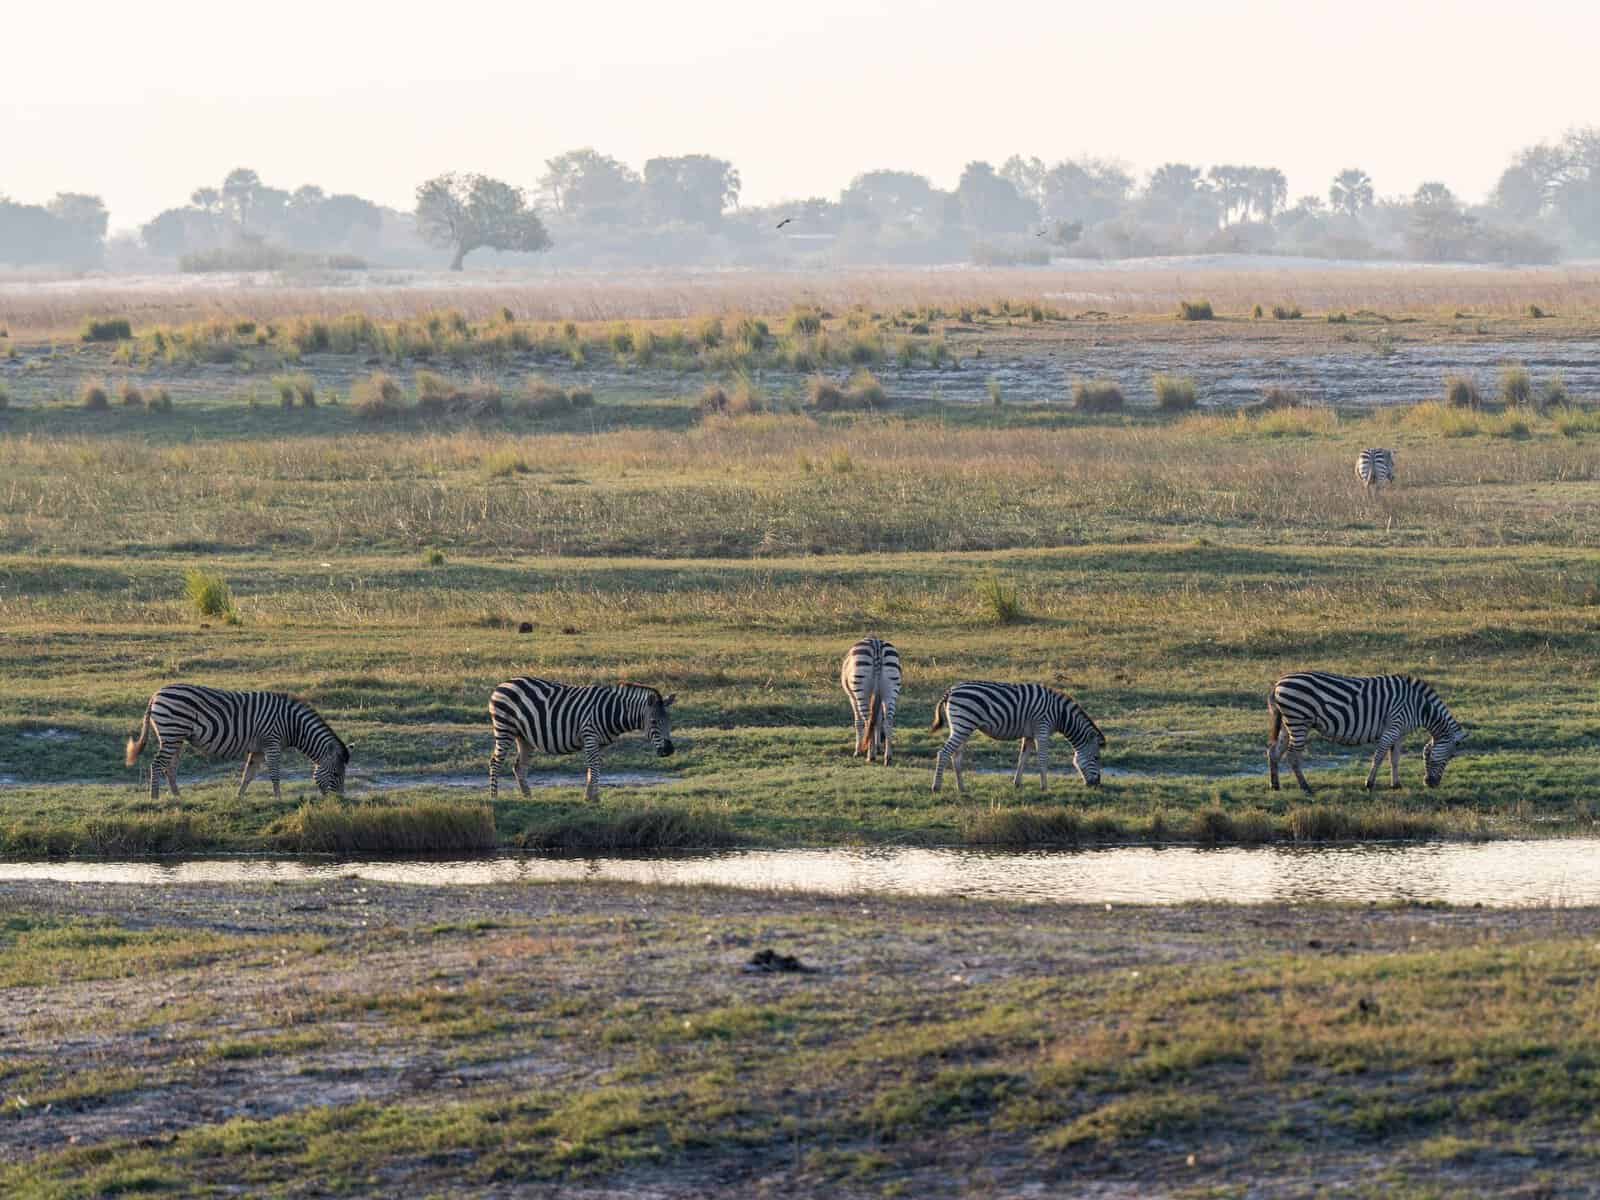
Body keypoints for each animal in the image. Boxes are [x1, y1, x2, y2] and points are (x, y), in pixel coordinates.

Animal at [125, 684, 349, 801]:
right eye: (337, 774)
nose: (340, 802)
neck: (292, 725)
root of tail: (155, 695)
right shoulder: (272, 742)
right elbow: (274, 773)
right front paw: (278, 799)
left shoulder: (258, 748)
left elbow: (248, 775)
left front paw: (238, 797)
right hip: (172, 732)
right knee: (157, 765)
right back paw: (154, 799)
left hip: (176, 737)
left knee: (169, 767)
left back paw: (178, 797)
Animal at [489, 677, 675, 802]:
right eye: (653, 722)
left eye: (669, 721)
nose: (669, 750)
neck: (613, 711)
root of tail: (502, 684)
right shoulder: (590, 735)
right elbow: (594, 767)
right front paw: (592, 798)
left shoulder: (599, 743)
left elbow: (594, 768)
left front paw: (591, 797)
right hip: (504, 728)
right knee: (495, 762)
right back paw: (494, 797)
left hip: (524, 737)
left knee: (519, 767)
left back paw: (528, 796)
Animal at [930, 682, 1105, 793]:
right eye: (1096, 758)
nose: (1097, 785)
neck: (1060, 715)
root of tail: (951, 691)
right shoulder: (1042, 729)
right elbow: (1042, 759)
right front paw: (1045, 787)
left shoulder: (1029, 735)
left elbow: (1023, 758)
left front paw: (1017, 783)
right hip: (963, 724)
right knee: (943, 753)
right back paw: (936, 787)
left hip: (961, 727)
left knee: (956, 756)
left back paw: (962, 788)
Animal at [1267, 671, 1466, 794]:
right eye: (1451, 756)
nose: (1431, 784)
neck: (1419, 707)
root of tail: (1277, 684)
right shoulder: (1393, 726)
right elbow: (1378, 756)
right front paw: (1369, 784)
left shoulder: (1399, 733)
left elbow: (1395, 759)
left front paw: (1396, 785)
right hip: (1298, 720)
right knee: (1292, 755)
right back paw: (1306, 788)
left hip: (1287, 724)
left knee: (1273, 752)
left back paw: (1275, 785)